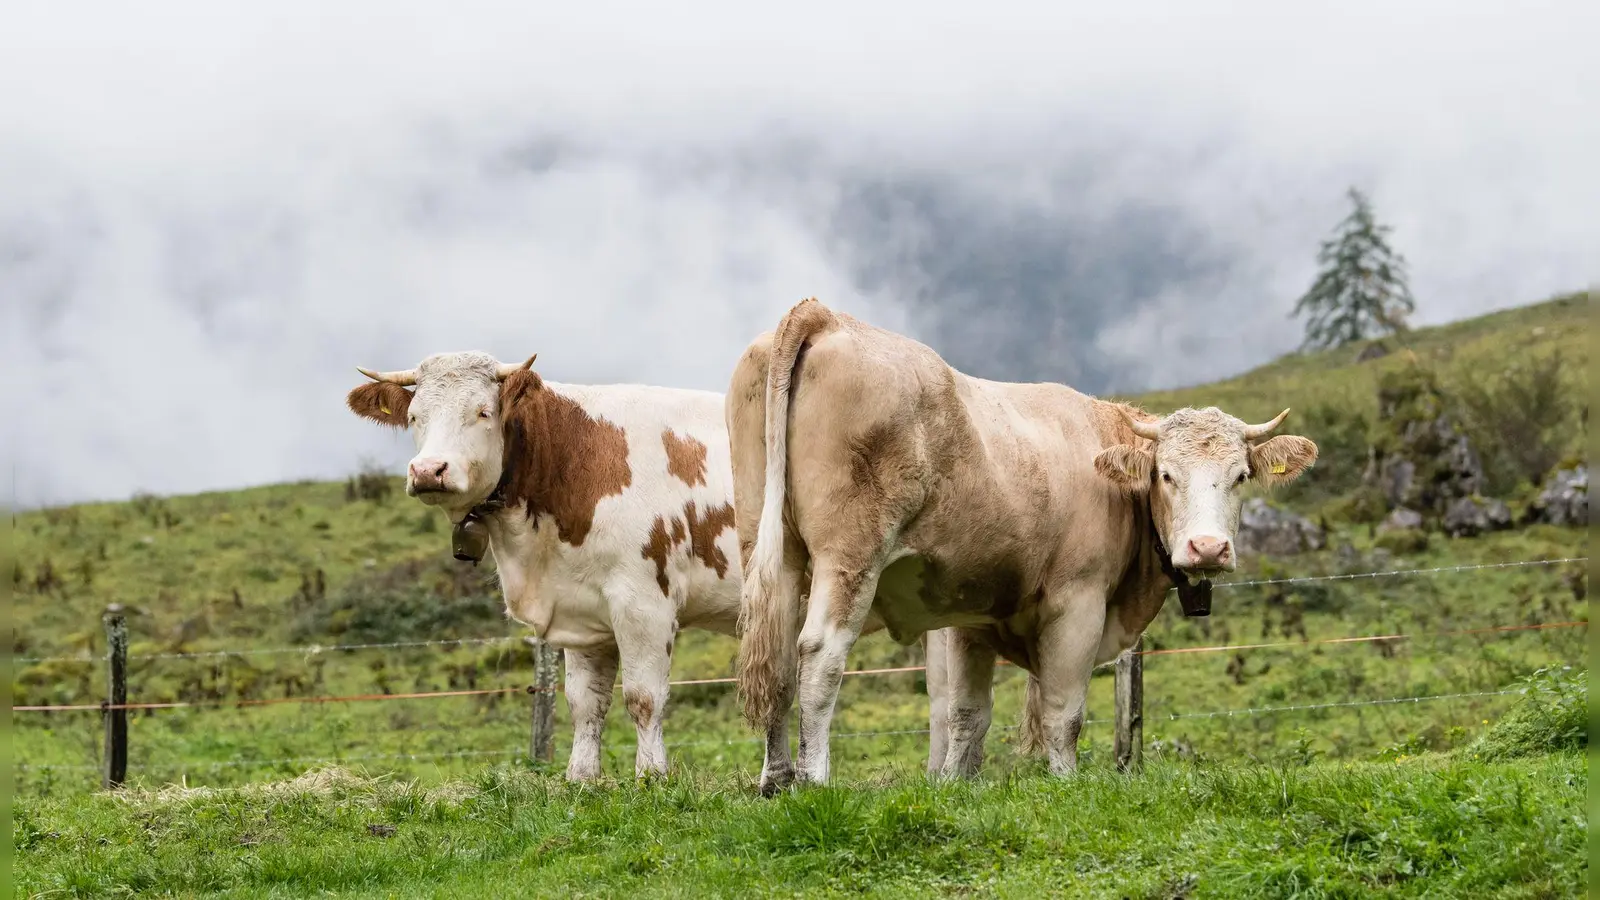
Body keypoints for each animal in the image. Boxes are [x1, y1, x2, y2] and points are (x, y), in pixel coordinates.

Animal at [346, 351, 745, 780]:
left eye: (483, 412)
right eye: (414, 416)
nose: (427, 470)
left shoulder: (644, 604)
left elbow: (644, 698)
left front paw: (652, 777)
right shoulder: (584, 611)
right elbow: (584, 703)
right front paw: (582, 778)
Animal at [728, 298, 1318, 793]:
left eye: (1241, 476)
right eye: (1166, 476)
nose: (1208, 548)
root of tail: (826, 315)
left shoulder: (969, 615)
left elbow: (967, 714)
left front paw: (955, 788)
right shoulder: (1078, 603)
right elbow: (1063, 712)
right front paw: (1065, 784)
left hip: (770, 548)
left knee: (776, 655)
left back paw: (775, 780)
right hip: (850, 555)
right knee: (820, 652)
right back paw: (813, 780)